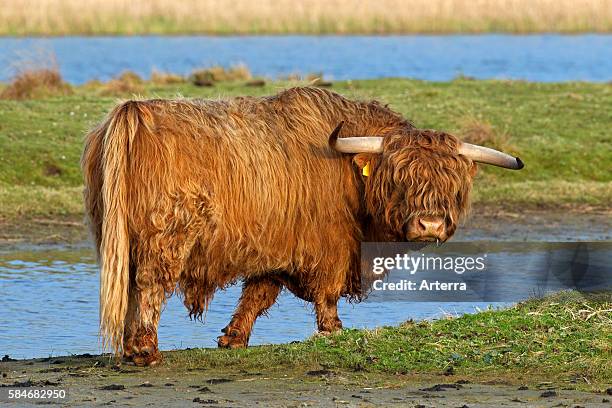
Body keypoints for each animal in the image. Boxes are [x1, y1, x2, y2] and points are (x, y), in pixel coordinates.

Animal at [80, 87, 520, 366]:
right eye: (400, 179)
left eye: (451, 183)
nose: (429, 224)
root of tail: (134, 112)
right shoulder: (331, 244)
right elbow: (325, 293)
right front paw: (334, 330)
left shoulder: (276, 245)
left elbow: (258, 293)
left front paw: (233, 338)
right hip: (168, 233)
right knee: (150, 285)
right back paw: (145, 351)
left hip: (120, 237)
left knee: (129, 285)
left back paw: (129, 347)